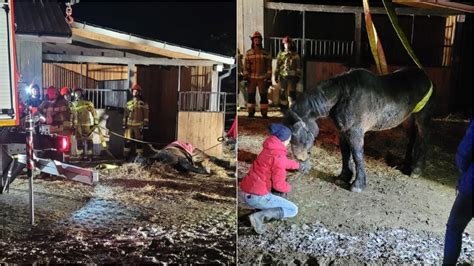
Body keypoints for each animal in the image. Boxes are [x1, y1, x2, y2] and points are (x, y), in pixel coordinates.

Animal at [286, 67, 436, 192]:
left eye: (300, 136)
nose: (301, 166)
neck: (342, 94)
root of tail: (424, 75)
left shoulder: (355, 132)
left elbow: (357, 155)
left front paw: (358, 185)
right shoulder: (343, 131)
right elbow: (345, 154)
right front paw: (344, 177)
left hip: (422, 116)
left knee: (423, 138)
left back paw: (416, 170)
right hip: (408, 118)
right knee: (412, 138)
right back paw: (406, 164)